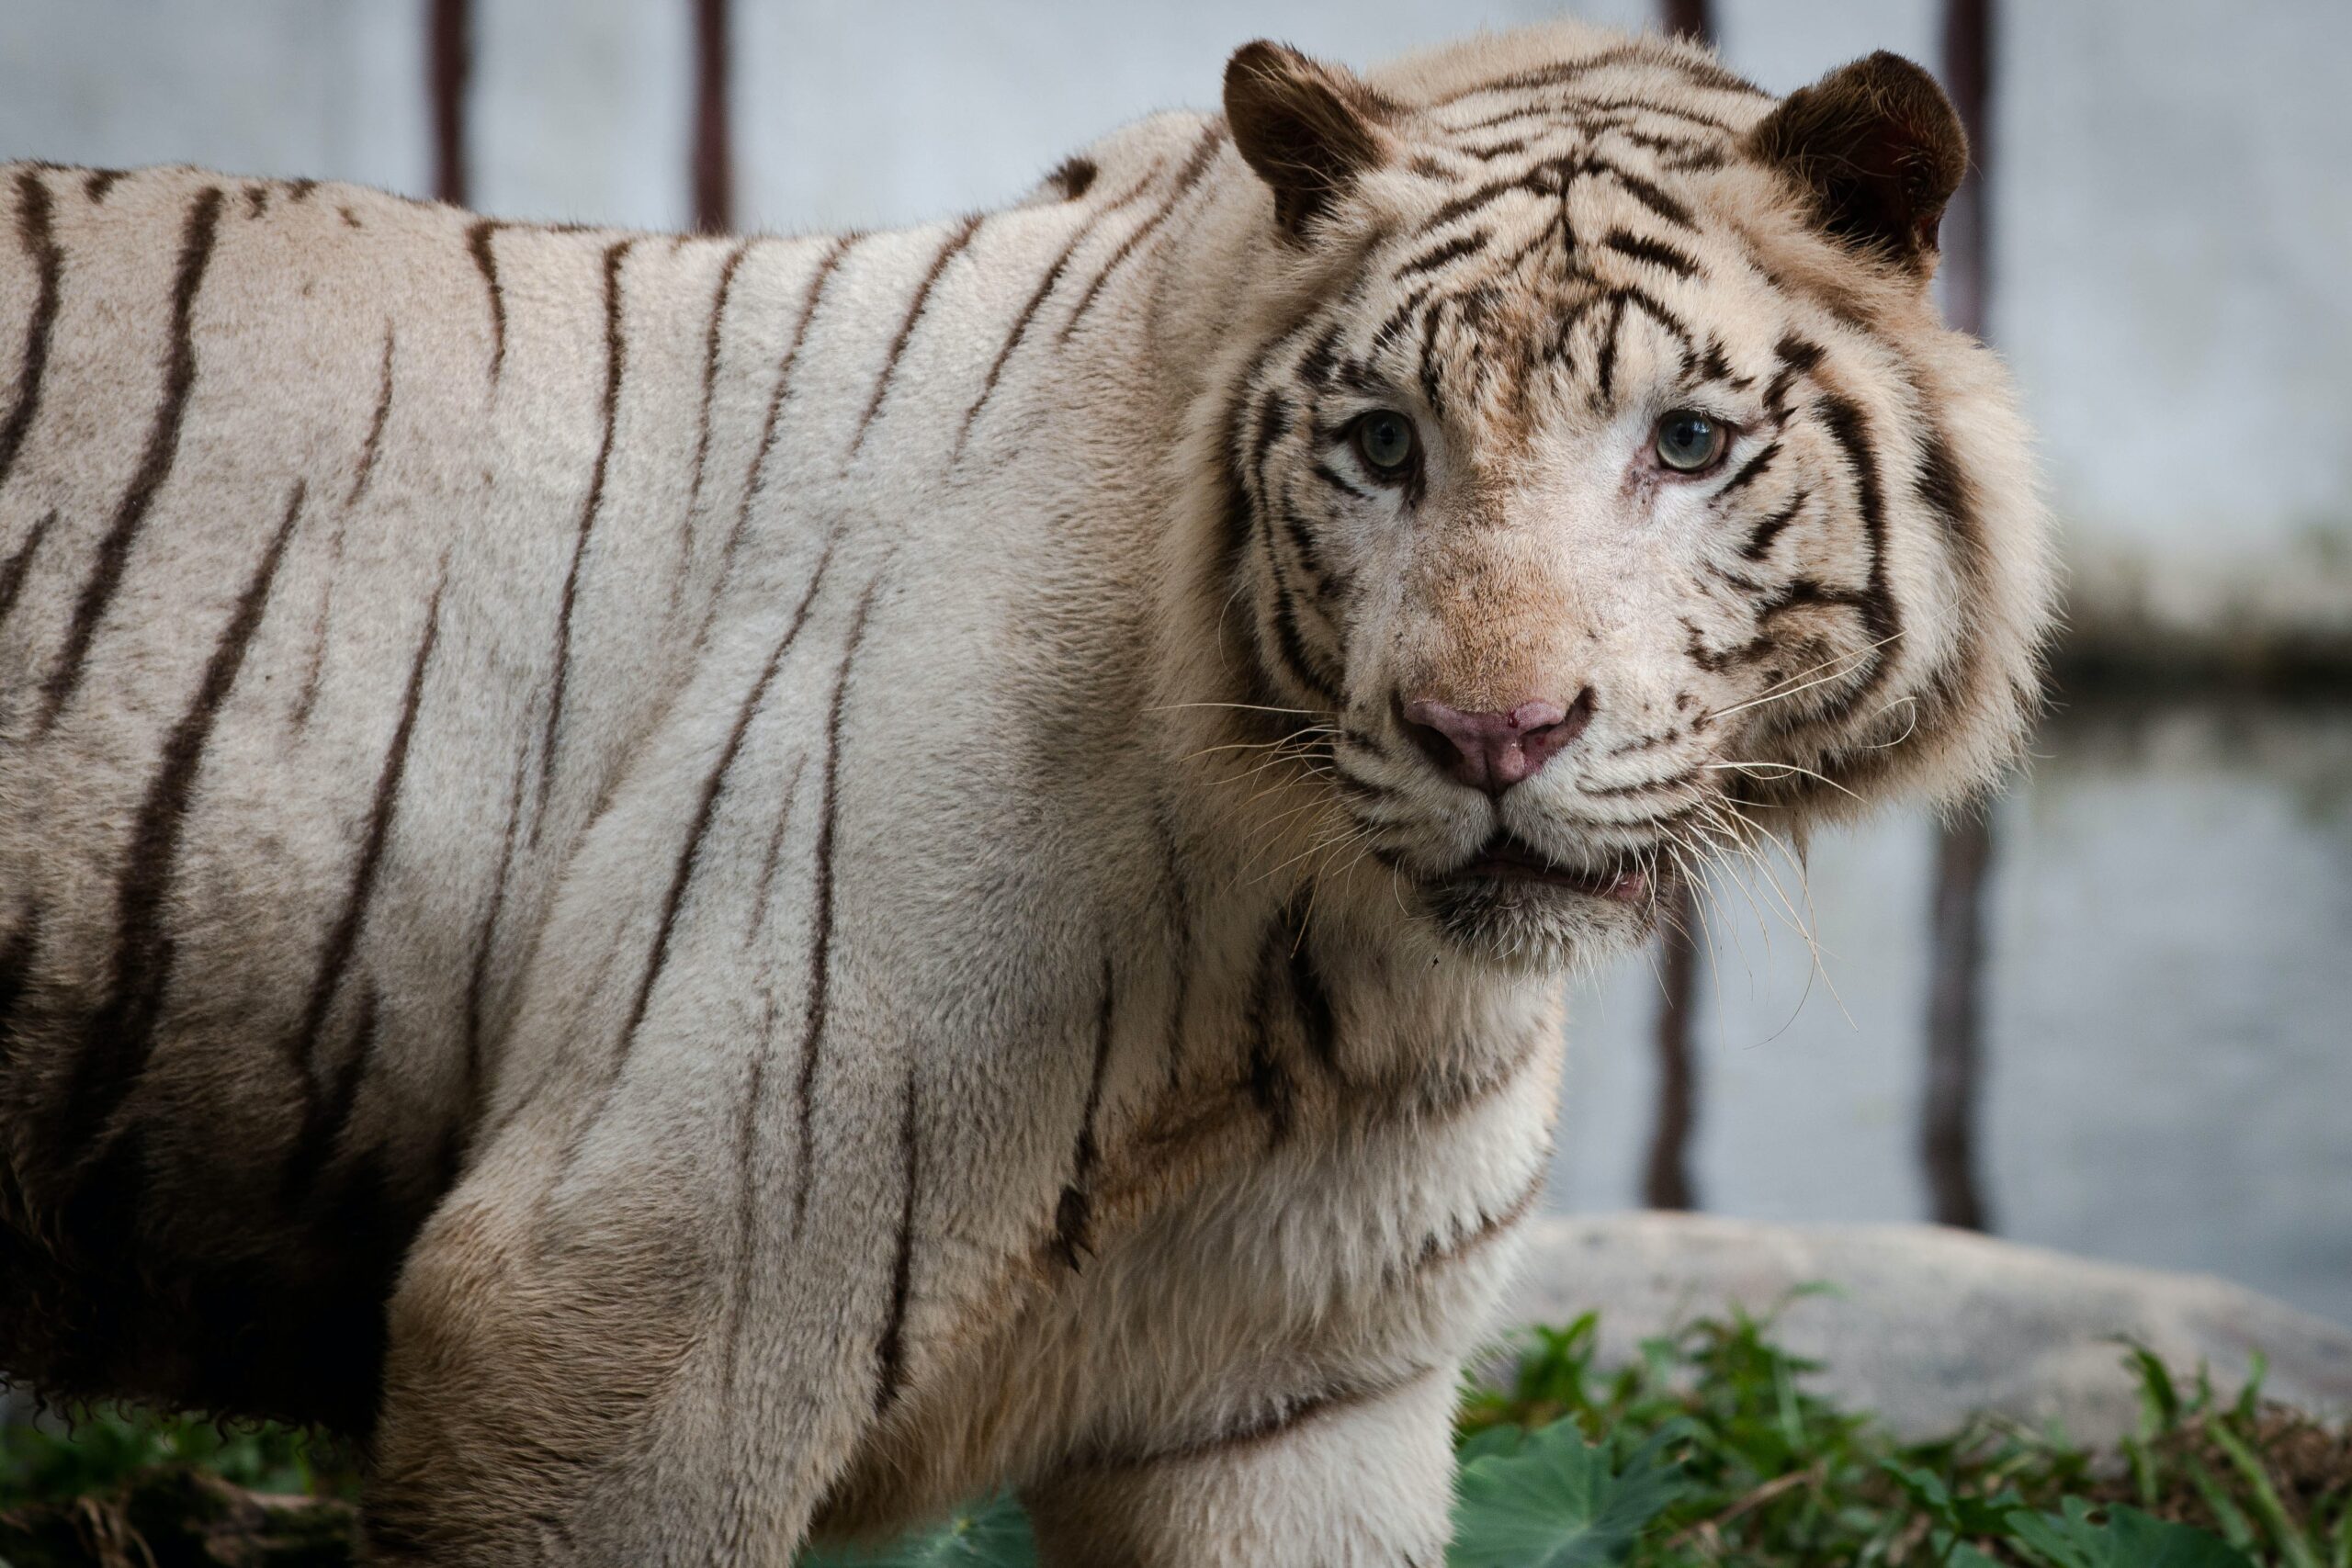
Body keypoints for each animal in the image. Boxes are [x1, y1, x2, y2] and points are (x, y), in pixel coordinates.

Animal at [0, 24, 2060, 1568]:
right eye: (1381, 446)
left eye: (1685, 443)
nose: (1487, 734)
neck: (1327, 968)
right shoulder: (618, 1308)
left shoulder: (1298, 1404)